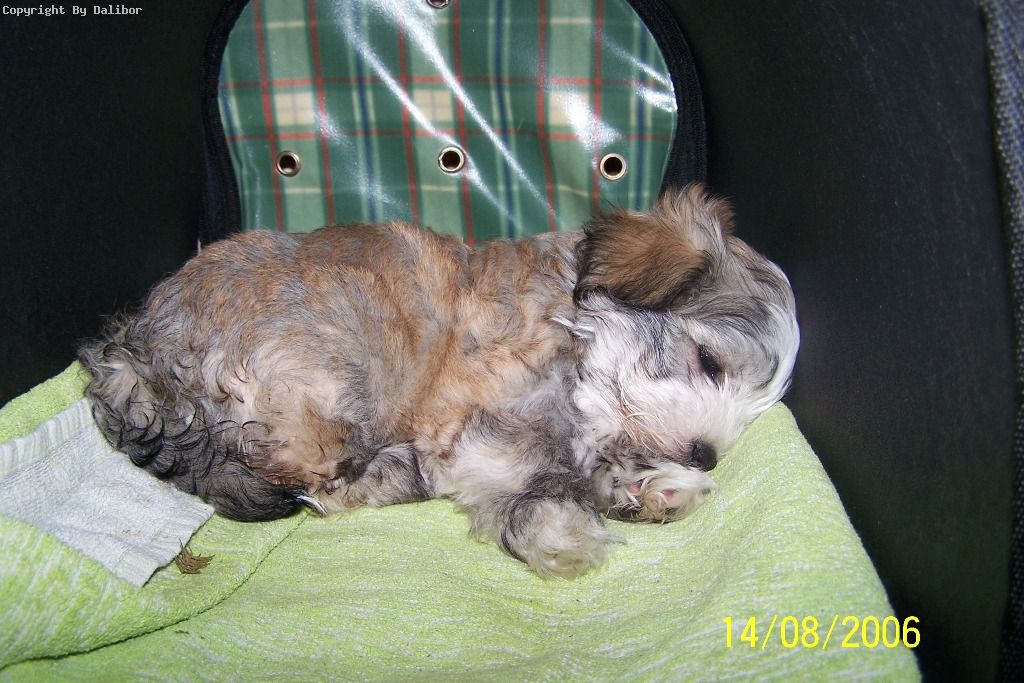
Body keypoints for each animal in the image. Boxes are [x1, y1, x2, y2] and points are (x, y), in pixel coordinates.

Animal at [79, 184, 799, 578]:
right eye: (709, 362)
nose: (705, 453)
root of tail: (128, 360)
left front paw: (651, 487)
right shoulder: (479, 429)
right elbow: (532, 479)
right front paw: (563, 530)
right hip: (322, 384)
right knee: (319, 478)